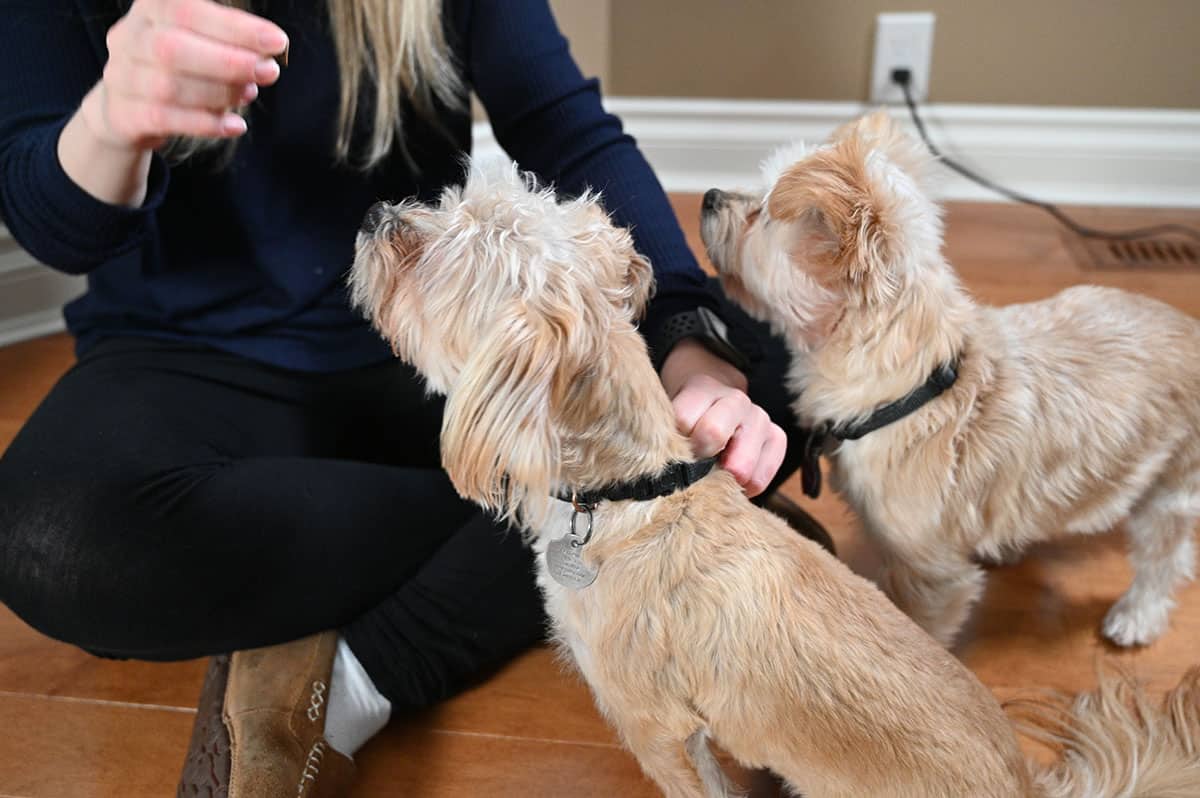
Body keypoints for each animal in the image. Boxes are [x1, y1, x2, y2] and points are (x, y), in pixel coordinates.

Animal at [700, 110, 1200, 648]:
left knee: (1165, 556)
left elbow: (923, 627)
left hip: (1171, 485)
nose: (709, 195)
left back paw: (1137, 615)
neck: (908, 390)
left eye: (762, 215)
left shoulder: (931, 572)